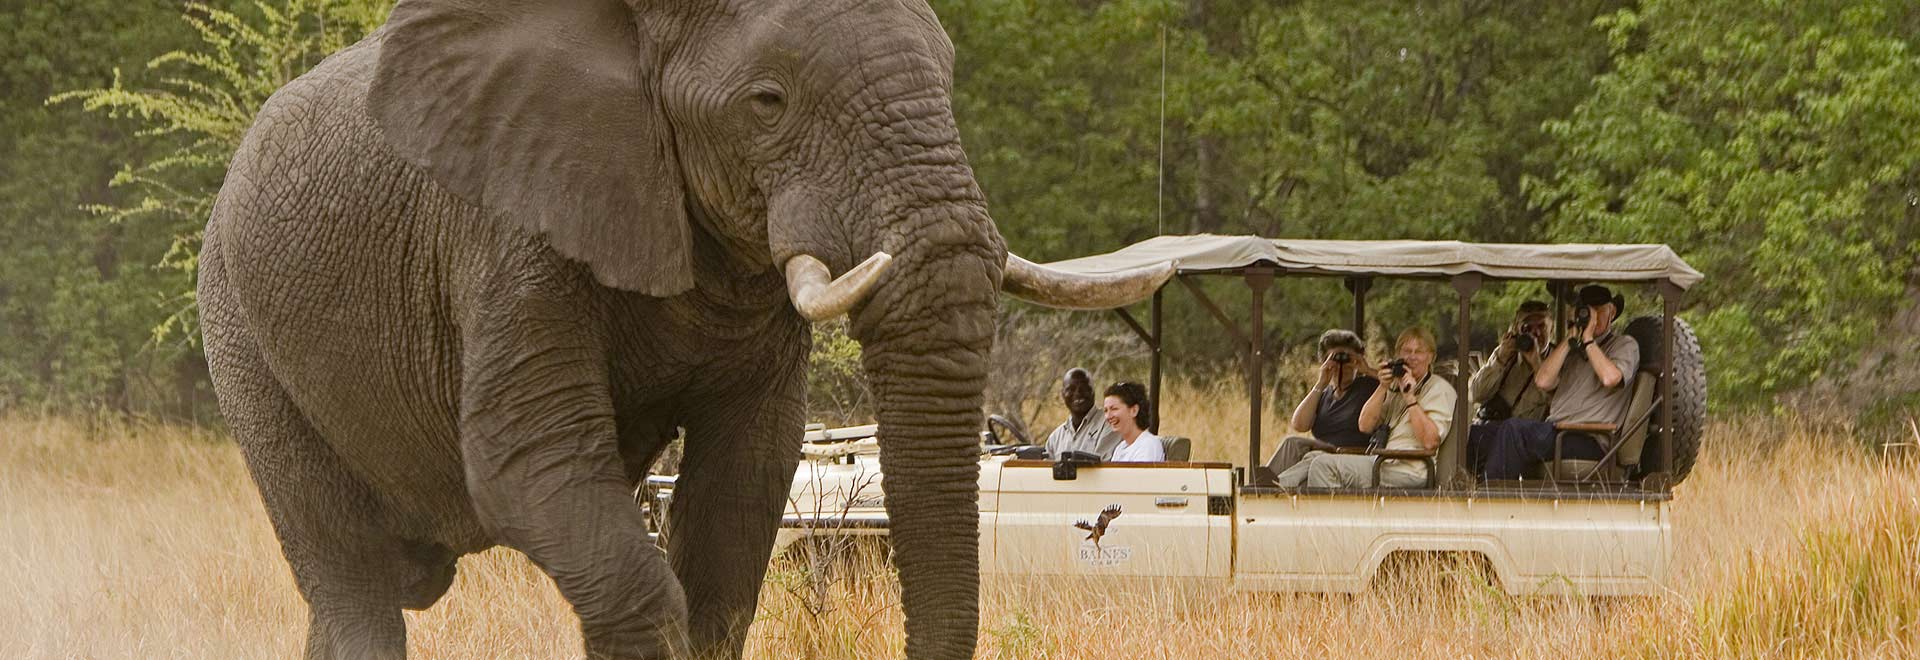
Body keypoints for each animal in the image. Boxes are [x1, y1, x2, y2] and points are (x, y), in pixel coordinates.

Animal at [202, 1, 1175, 660]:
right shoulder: (507, 227)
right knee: (354, 585)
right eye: (768, 100)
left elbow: (738, 499)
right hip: (241, 335)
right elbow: (531, 468)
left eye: (946, 77)